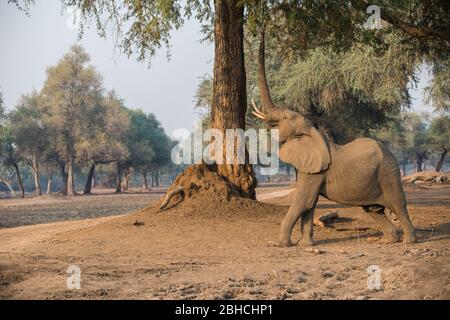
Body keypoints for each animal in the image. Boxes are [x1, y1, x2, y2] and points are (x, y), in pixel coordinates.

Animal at [251, 101, 416, 246]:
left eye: (285, 117)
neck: (311, 132)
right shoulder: (311, 167)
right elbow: (310, 203)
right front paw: (305, 244)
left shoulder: (316, 171)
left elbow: (303, 201)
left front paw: (279, 244)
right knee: (373, 209)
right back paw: (387, 241)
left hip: (388, 173)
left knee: (398, 205)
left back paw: (408, 241)